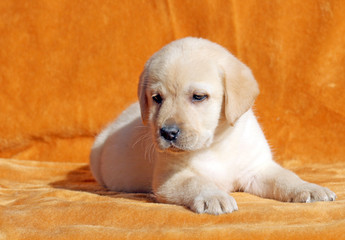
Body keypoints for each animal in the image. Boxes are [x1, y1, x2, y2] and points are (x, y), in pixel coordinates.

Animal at [89, 38, 336, 216]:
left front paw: (310, 188)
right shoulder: (170, 178)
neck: (215, 145)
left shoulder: (257, 169)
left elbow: (285, 178)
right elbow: (196, 182)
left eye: (198, 97)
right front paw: (213, 197)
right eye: (157, 98)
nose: (167, 132)